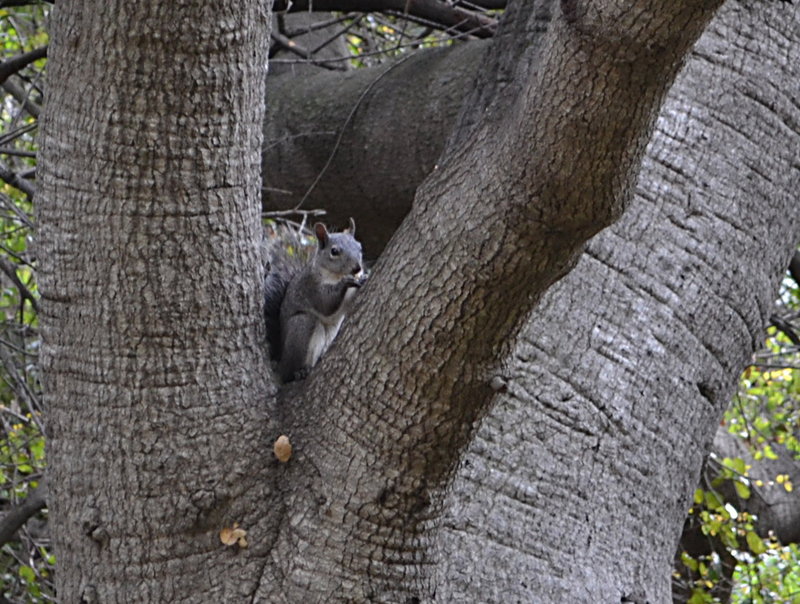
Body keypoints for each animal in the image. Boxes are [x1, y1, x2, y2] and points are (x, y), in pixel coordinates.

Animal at [262, 221, 366, 382]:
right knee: (289, 371)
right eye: (334, 251)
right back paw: (300, 372)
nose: (357, 268)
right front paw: (346, 282)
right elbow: (326, 303)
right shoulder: (311, 287)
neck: (335, 275)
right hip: (302, 327)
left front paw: (364, 277)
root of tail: (281, 363)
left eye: (360, 247)